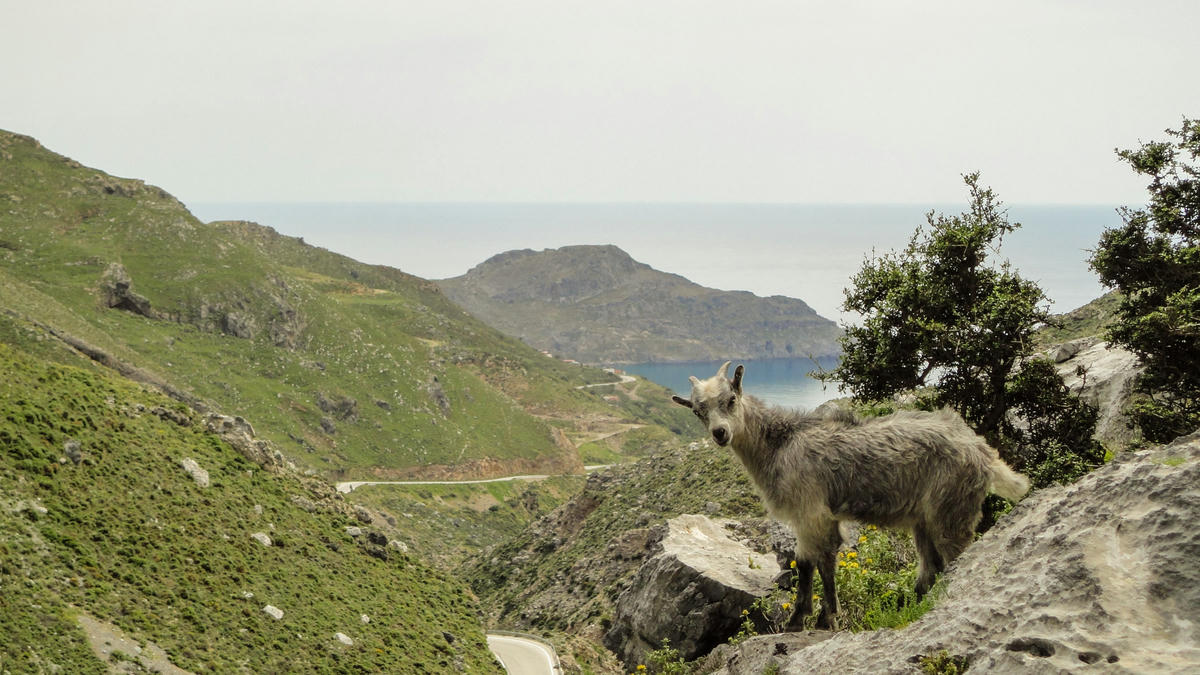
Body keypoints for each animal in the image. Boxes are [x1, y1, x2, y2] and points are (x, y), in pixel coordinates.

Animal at [671, 361, 1029, 630]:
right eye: (698, 411)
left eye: (731, 399)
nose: (720, 433)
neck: (780, 444)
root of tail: (982, 452)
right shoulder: (819, 518)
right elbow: (821, 561)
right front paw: (821, 618)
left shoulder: (810, 512)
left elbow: (809, 562)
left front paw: (805, 619)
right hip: (925, 519)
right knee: (931, 567)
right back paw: (908, 604)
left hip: (951, 510)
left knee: (957, 555)